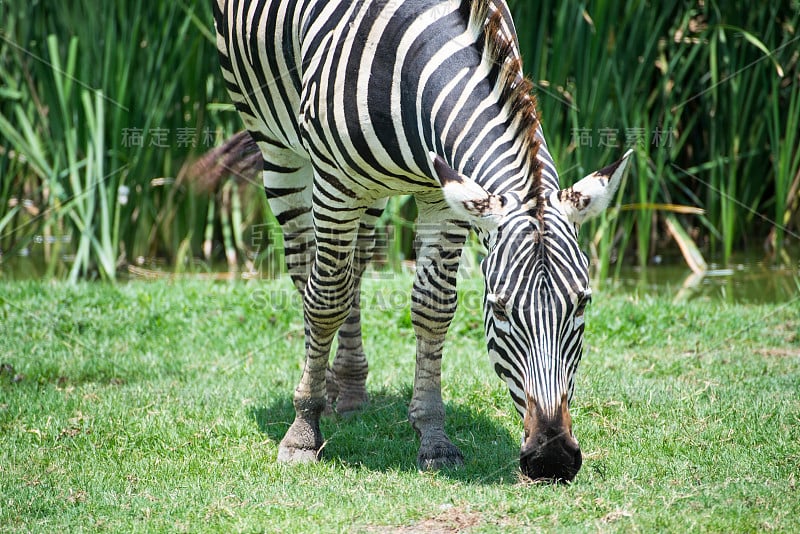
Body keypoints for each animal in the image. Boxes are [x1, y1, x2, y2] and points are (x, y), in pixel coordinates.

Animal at [212, 0, 632, 484]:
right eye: (500, 309)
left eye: (582, 303)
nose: (552, 458)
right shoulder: (337, 184)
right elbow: (325, 302)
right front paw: (302, 433)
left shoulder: (442, 194)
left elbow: (433, 308)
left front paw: (433, 438)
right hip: (276, 143)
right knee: (309, 271)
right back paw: (325, 388)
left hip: (373, 190)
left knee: (355, 267)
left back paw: (350, 386)